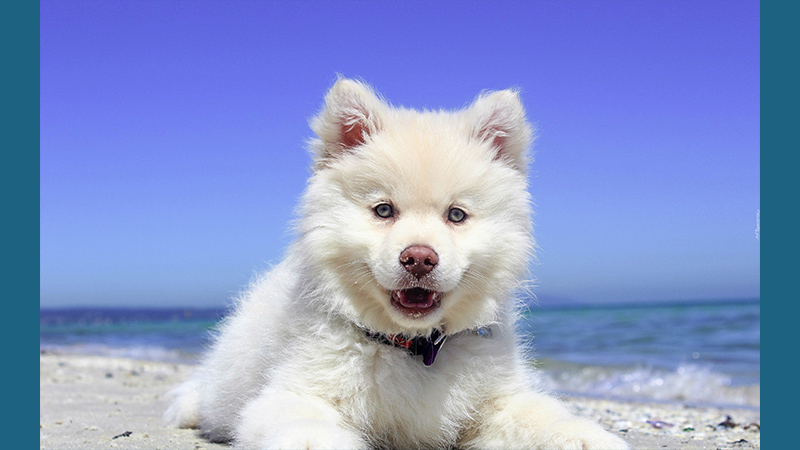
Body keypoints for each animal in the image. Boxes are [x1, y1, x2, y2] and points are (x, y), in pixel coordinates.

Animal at [167, 78, 632, 450]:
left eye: (456, 215)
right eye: (384, 210)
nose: (419, 258)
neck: (413, 347)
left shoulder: (496, 401)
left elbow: (543, 417)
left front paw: (586, 435)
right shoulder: (295, 393)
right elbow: (306, 428)